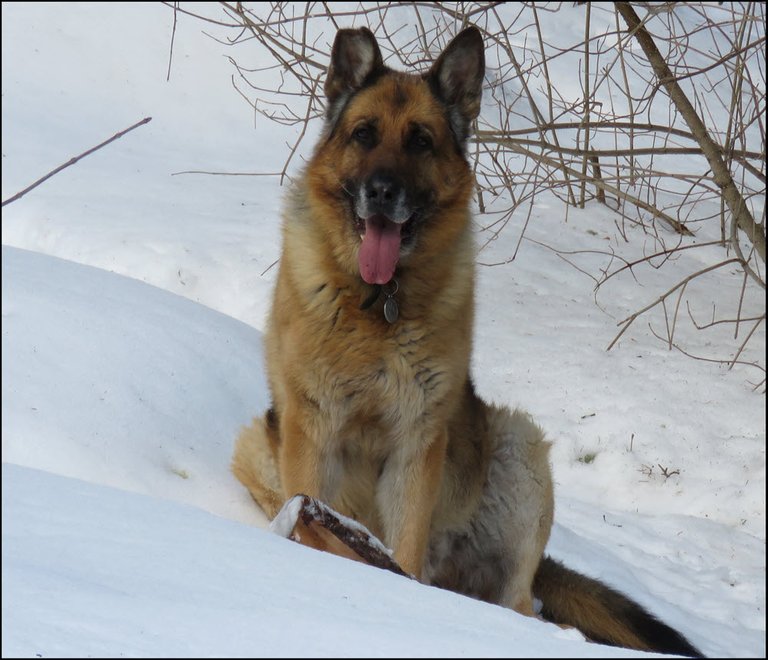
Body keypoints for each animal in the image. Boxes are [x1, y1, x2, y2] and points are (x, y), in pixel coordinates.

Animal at [232, 24, 704, 656]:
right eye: (364, 134)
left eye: (421, 142)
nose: (382, 192)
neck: (377, 302)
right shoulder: (310, 428)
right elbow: (309, 520)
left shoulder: (417, 442)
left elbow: (403, 543)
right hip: (258, 445)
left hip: (518, 442)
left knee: (514, 602)